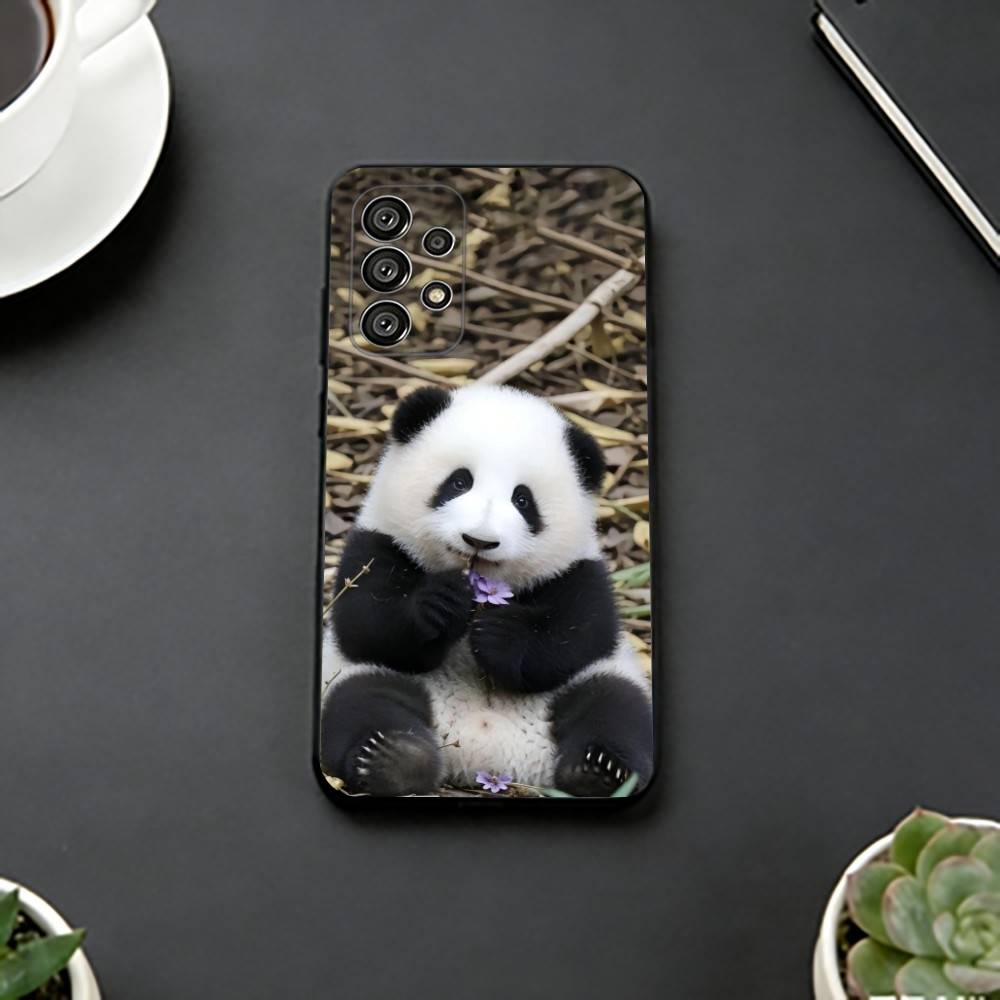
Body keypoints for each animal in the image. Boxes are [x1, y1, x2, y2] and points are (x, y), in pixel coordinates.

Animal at [320, 383, 654, 797]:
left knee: (613, 706)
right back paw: (395, 757)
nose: (479, 540)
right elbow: (365, 623)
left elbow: (581, 635)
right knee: (363, 701)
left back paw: (599, 769)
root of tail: (491, 754)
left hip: (596, 683)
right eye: (459, 482)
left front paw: (499, 635)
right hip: (367, 679)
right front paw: (440, 605)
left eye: (523, 499)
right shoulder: (377, 543)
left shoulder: (578, 572)